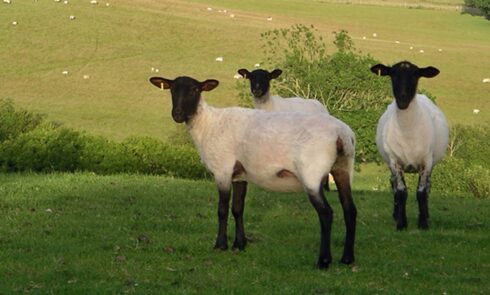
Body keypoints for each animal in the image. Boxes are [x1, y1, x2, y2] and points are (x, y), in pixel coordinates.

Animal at [148, 75, 356, 270]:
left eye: (195, 90)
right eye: (172, 89)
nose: (177, 114)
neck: (207, 124)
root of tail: (342, 134)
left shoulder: (222, 170)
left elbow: (222, 210)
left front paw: (220, 245)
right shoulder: (240, 174)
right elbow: (238, 209)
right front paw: (239, 244)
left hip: (312, 173)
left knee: (326, 214)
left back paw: (324, 261)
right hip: (343, 168)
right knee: (350, 210)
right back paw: (347, 259)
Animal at [372, 60, 448, 231]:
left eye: (416, 74)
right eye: (392, 74)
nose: (402, 101)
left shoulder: (426, 162)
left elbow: (421, 193)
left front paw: (423, 224)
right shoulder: (395, 162)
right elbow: (401, 192)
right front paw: (401, 224)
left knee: (428, 187)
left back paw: (425, 214)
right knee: (393, 185)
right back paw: (396, 214)